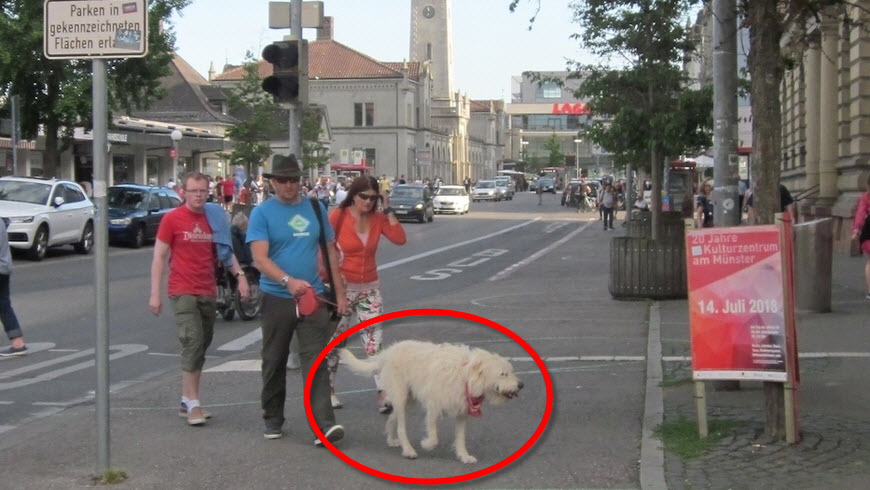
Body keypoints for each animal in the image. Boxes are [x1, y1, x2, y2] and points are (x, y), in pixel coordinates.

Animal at [338, 340, 520, 464]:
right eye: (503, 374)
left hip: (407, 401)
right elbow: (434, 437)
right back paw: (408, 449)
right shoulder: (433, 408)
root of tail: (387, 353)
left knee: (392, 418)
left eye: (510, 371)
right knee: (401, 428)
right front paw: (426, 445)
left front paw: (464, 456)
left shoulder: (462, 412)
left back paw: (391, 439)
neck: (465, 374)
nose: (521, 385)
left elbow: (460, 437)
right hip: (401, 397)